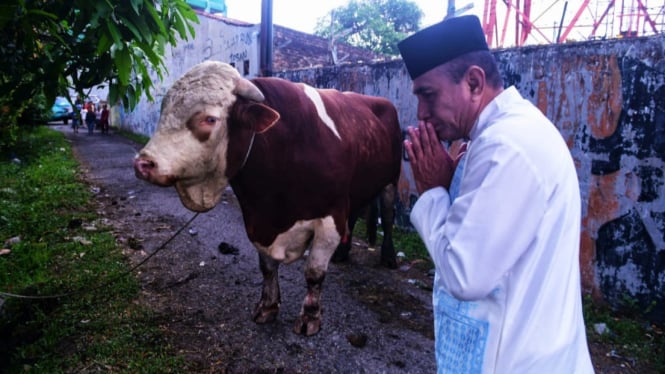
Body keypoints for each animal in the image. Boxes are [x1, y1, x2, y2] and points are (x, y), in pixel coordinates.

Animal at [130, 61, 400, 336]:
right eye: (163, 111)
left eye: (210, 119)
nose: (143, 164)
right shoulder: (258, 217)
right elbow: (267, 267)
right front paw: (268, 307)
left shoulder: (330, 216)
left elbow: (314, 273)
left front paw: (310, 316)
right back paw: (343, 253)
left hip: (391, 180)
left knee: (388, 217)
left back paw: (388, 255)